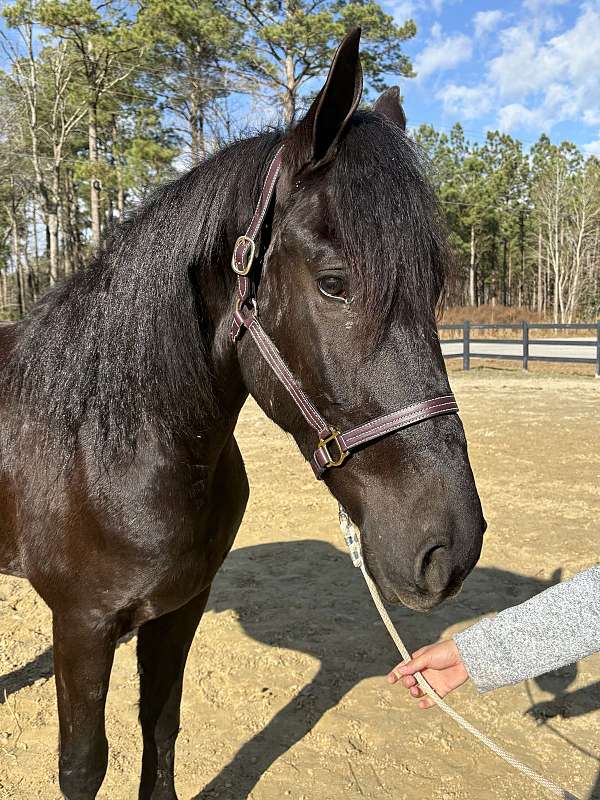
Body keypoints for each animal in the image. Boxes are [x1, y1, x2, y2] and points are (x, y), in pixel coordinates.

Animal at [0, 29, 482, 800]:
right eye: (335, 283)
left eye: (435, 283)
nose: (450, 549)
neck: (109, 447)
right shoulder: (81, 625)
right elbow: (83, 765)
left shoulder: (180, 608)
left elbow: (160, 727)